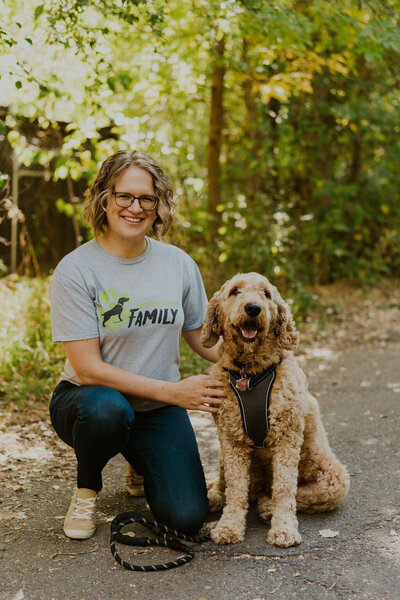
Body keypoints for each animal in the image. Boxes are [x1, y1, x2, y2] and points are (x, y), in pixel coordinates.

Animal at [200, 274, 350, 548]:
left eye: (266, 294)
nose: (253, 308)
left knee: (296, 496)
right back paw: (215, 497)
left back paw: (268, 507)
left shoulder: (286, 437)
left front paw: (284, 529)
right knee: (228, 482)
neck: (250, 373)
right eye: (235, 291)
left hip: (335, 479)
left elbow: (284, 488)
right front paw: (229, 526)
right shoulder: (231, 439)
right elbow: (235, 489)